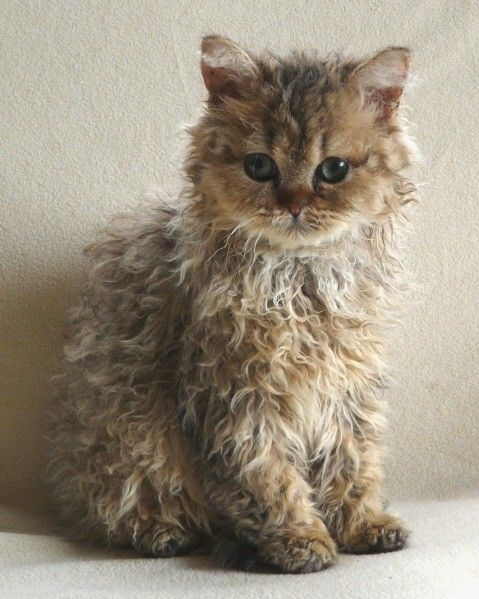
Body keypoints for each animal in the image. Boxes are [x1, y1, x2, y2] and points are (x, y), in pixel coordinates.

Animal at [47, 35, 418, 576]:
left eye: (334, 170)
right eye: (259, 166)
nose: (294, 204)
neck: (298, 282)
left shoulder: (348, 389)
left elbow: (353, 463)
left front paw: (361, 524)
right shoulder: (237, 398)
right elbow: (269, 480)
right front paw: (300, 540)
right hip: (127, 442)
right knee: (123, 509)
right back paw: (166, 533)